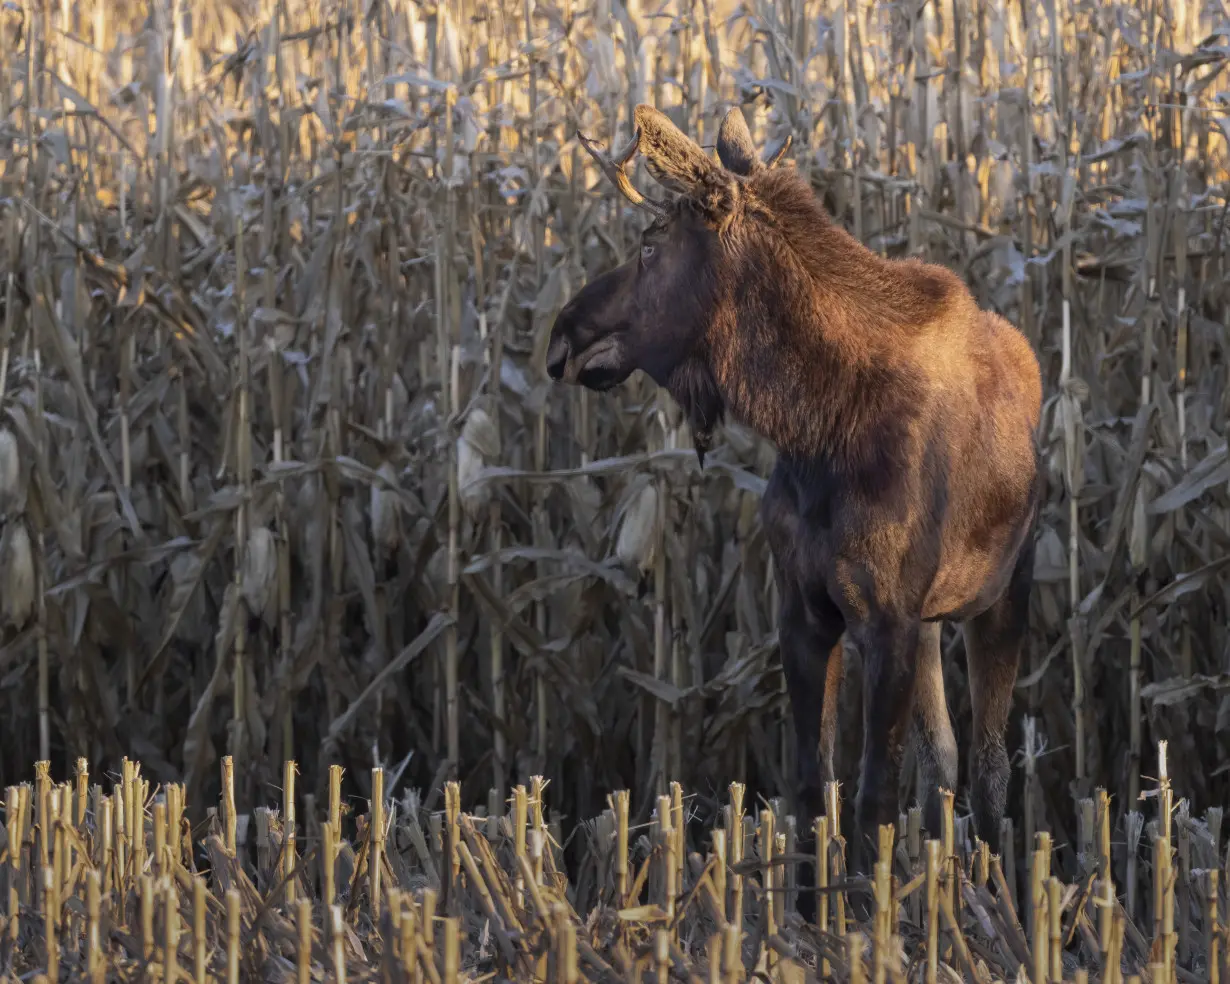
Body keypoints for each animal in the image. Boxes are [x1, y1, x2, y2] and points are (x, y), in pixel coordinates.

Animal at [546, 103, 1038, 870]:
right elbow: (811, 793)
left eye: (652, 245)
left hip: (1005, 592)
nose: (561, 336)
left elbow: (873, 802)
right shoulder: (804, 609)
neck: (816, 431)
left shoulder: (888, 618)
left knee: (989, 768)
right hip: (935, 621)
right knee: (944, 761)